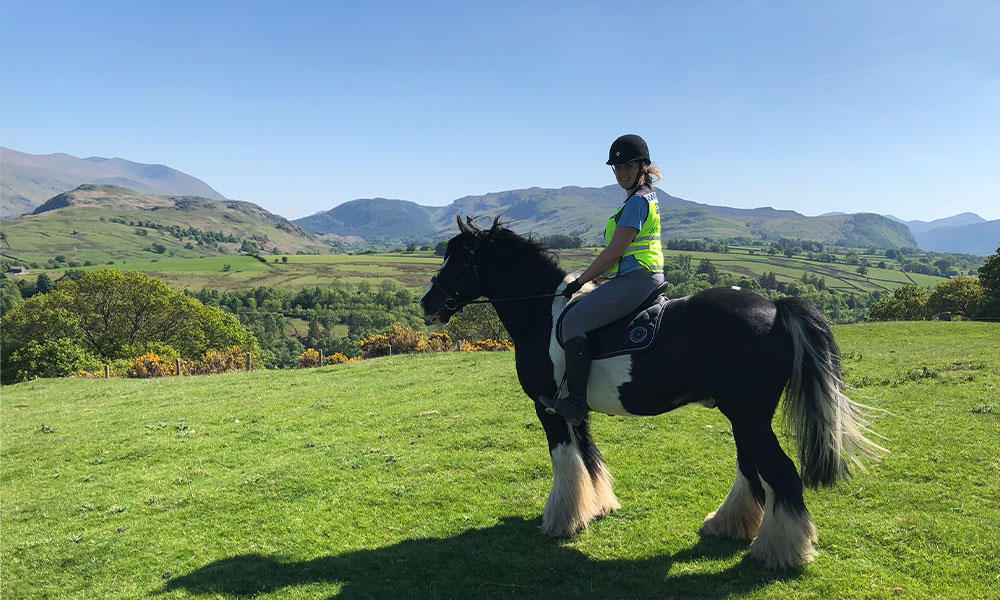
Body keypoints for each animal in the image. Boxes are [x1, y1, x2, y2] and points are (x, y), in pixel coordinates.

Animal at [420, 216, 883, 569]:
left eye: (459, 258)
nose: (428, 304)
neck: (544, 316)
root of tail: (775, 307)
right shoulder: (573, 410)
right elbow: (588, 459)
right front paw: (598, 508)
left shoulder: (548, 409)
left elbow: (565, 462)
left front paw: (562, 521)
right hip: (744, 418)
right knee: (751, 469)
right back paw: (728, 526)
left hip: (749, 418)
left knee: (781, 473)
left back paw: (779, 553)